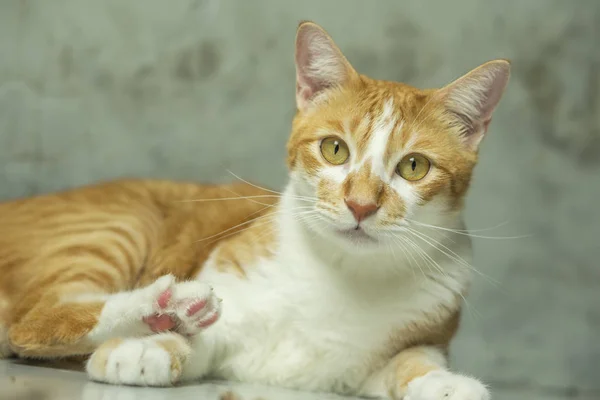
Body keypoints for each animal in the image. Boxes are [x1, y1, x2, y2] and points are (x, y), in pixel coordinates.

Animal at [0, 21, 510, 400]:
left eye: (413, 166)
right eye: (335, 149)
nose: (361, 204)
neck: (347, 275)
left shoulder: (399, 350)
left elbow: (415, 360)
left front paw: (445, 384)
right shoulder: (230, 307)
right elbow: (196, 340)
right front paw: (148, 346)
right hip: (118, 227)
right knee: (34, 319)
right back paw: (161, 306)